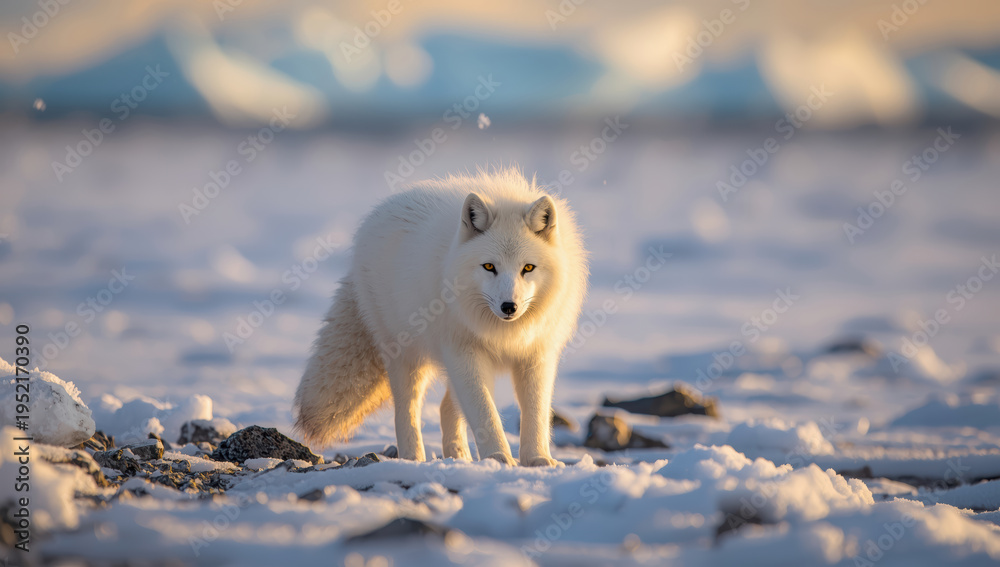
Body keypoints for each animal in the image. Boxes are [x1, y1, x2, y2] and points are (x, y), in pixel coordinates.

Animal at [293, 169, 588, 466]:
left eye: (528, 268)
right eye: (489, 266)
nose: (509, 307)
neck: (504, 334)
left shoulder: (537, 354)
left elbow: (536, 414)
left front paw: (538, 460)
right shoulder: (464, 351)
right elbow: (485, 413)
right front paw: (498, 459)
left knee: (447, 406)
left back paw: (458, 456)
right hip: (409, 359)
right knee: (407, 411)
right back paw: (414, 458)